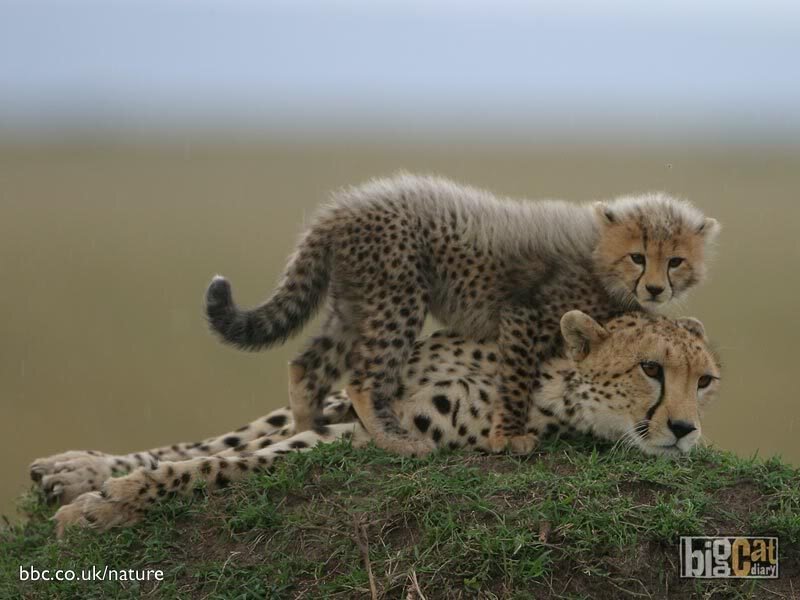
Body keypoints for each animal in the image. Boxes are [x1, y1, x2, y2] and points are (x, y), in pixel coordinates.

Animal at [31, 311, 721, 536]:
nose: (686, 430)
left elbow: (235, 460)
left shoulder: (374, 435)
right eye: (651, 368)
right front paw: (92, 480)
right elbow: (221, 441)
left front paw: (112, 503)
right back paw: (73, 468)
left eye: (705, 382)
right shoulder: (356, 403)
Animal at [204, 173, 720, 456]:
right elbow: (517, 378)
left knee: (306, 365)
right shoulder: (524, 315)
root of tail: (345, 206)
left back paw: (308, 427)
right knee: (363, 378)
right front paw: (508, 436)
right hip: (397, 295)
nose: (654, 288)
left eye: (675, 261)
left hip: (355, 301)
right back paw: (396, 439)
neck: (596, 256)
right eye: (638, 256)